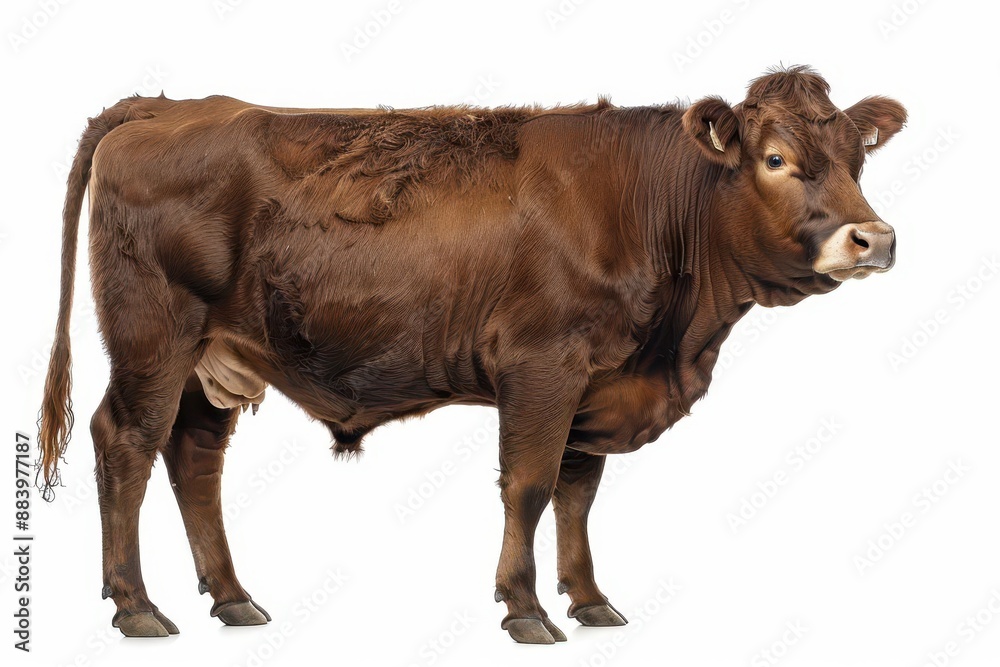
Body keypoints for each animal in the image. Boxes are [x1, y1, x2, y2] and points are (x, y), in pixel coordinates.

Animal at [38, 66, 906, 644]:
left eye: (857, 159)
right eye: (775, 159)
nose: (874, 238)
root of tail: (167, 106)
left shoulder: (596, 381)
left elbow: (578, 491)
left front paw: (589, 597)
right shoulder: (542, 362)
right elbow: (528, 485)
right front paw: (524, 607)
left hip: (212, 358)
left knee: (194, 455)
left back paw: (230, 595)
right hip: (154, 335)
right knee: (127, 441)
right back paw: (136, 604)